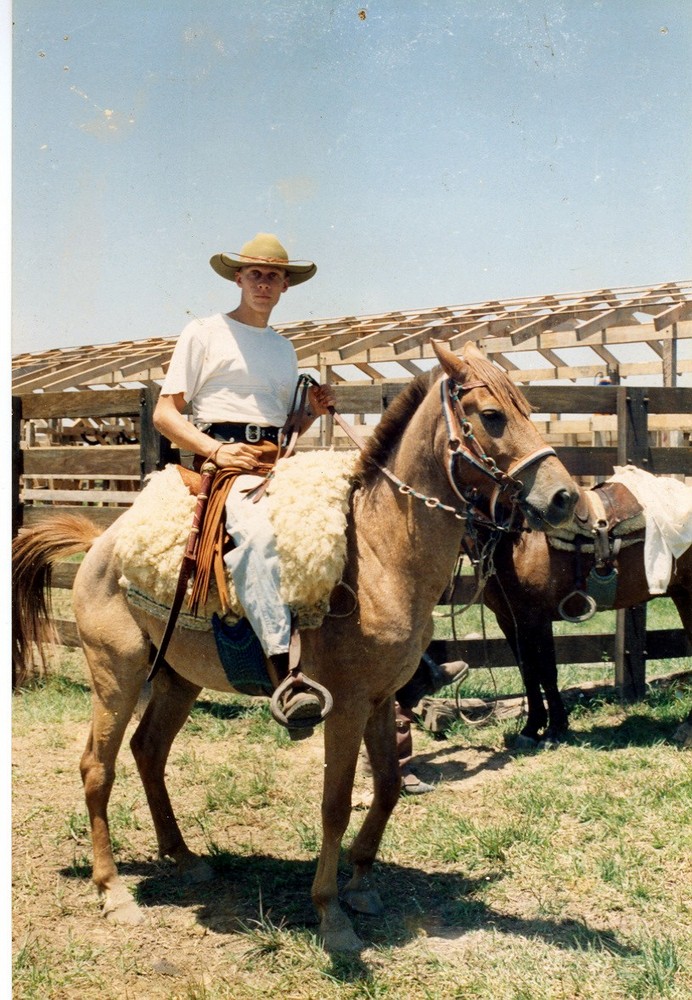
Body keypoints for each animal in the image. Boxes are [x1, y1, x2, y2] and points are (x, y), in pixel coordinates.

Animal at [13, 342, 580, 952]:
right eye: (493, 416)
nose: (566, 496)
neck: (380, 552)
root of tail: (102, 544)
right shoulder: (346, 705)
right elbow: (336, 804)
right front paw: (331, 914)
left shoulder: (381, 698)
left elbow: (387, 787)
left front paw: (362, 884)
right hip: (115, 675)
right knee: (98, 767)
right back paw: (113, 891)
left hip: (177, 680)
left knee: (149, 752)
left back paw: (184, 857)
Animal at [476, 480, 692, 748]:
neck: (516, 536)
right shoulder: (509, 620)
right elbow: (528, 672)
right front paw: (531, 729)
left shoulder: (536, 618)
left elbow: (546, 671)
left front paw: (555, 730)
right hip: (683, 594)